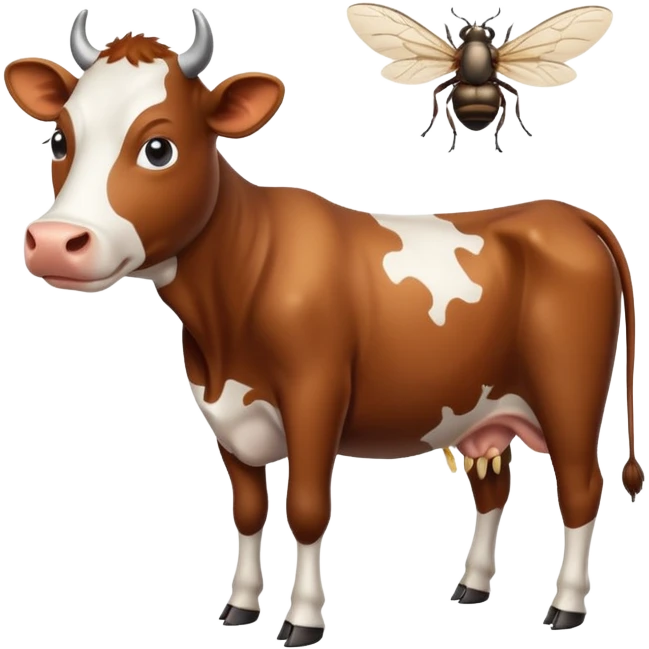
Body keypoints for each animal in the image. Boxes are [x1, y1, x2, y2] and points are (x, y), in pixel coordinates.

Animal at [5, 8, 643, 645]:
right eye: (59, 139)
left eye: (158, 148)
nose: (55, 242)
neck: (228, 310)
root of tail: (565, 214)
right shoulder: (225, 413)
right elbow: (248, 511)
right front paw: (239, 607)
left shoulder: (315, 395)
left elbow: (307, 509)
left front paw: (303, 618)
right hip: (483, 410)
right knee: (492, 488)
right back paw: (473, 585)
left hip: (570, 393)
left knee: (581, 489)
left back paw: (566, 606)